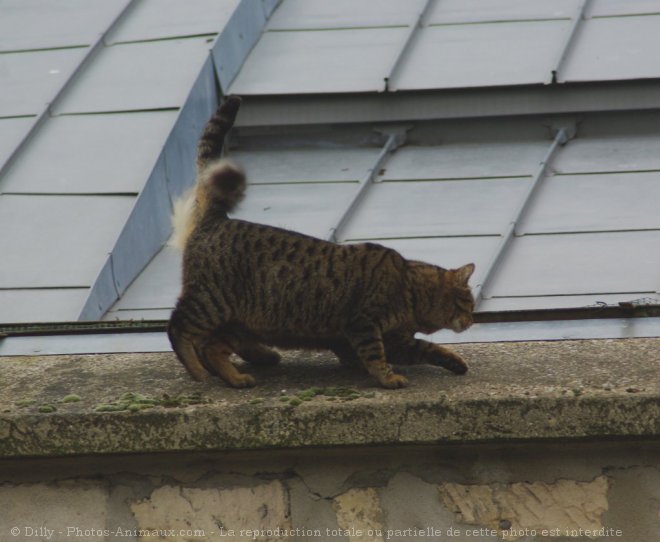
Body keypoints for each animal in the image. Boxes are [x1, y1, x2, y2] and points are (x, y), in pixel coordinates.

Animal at [168, 95, 476, 388]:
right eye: (469, 305)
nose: (472, 320)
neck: (409, 288)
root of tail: (217, 218)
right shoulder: (364, 325)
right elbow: (377, 356)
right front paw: (388, 379)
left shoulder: (392, 340)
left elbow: (429, 348)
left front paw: (455, 362)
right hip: (211, 302)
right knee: (180, 330)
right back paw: (204, 371)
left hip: (237, 319)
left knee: (211, 345)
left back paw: (246, 368)